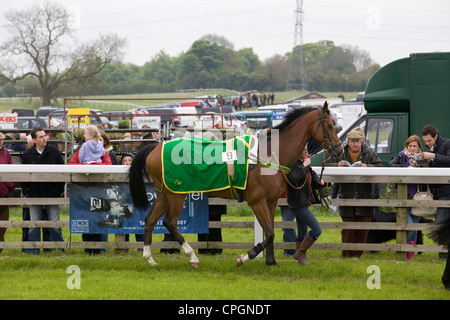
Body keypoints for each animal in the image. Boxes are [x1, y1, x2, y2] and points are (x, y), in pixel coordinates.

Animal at [128, 102, 342, 268]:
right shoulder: (257, 201)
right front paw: (245, 257)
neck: (269, 155)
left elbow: (271, 232)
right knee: (170, 222)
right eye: (330, 125)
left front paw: (271, 261)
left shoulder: (271, 201)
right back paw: (193, 257)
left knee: (149, 220)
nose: (339, 151)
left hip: (164, 193)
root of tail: (155, 146)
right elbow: (270, 233)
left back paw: (149, 258)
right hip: (177, 194)